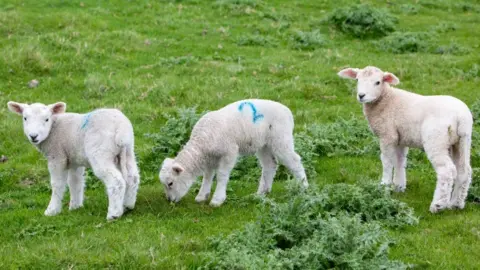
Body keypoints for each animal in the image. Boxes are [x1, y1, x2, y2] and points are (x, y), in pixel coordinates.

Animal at [7, 100, 139, 219]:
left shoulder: (57, 156)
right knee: (133, 177)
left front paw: (52, 210)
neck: (54, 128)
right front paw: (75, 206)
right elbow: (75, 182)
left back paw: (114, 214)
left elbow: (57, 183)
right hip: (128, 151)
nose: (33, 136)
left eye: (46, 119)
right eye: (25, 118)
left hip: (101, 152)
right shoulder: (74, 159)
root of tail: (121, 131)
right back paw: (127, 205)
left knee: (116, 181)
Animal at [158, 99, 308, 207]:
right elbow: (207, 176)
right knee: (269, 165)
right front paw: (202, 196)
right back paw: (261, 193)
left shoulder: (229, 152)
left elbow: (221, 175)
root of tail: (287, 111)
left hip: (281, 137)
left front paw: (217, 200)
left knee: (294, 160)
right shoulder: (209, 158)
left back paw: (304, 188)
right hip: (263, 144)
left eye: (170, 183)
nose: (170, 200)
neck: (201, 142)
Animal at [338, 66, 472, 213]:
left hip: (436, 139)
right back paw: (456, 204)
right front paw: (399, 187)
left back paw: (438, 205)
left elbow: (387, 161)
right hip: (462, 140)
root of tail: (460, 117)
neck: (386, 100)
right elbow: (399, 161)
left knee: (446, 171)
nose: (361, 95)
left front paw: (384, 185)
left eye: (378, 82)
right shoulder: (400, 138)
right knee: (464, 170)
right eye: (357, 80)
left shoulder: (387, 135)